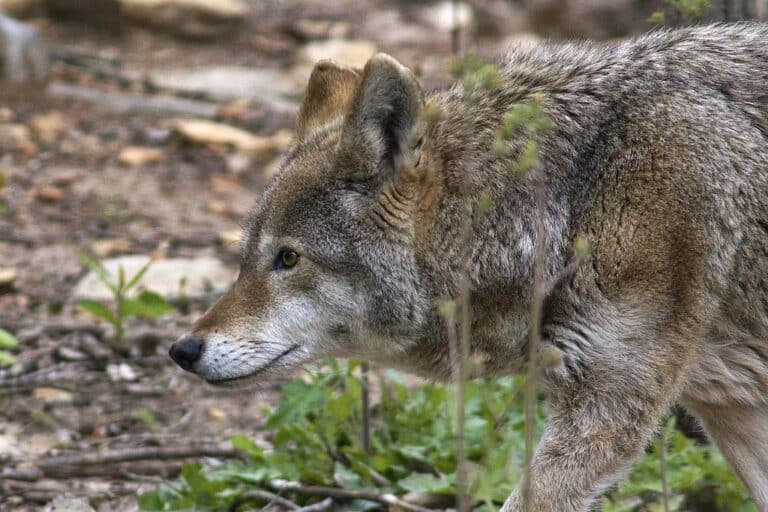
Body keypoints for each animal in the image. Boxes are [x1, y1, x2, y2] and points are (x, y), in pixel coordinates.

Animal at [170, 23, 768, 511]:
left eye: (288, 258)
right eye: (246, 259)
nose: (182, 350)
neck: (565, 205)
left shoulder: (608, 412)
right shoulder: (735, 417)